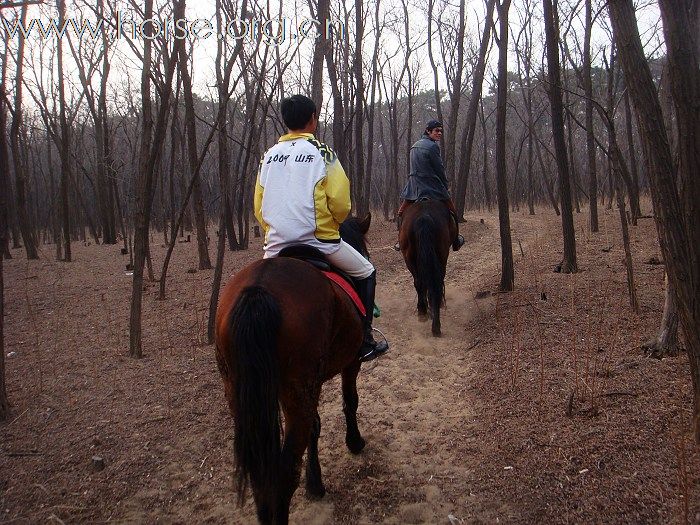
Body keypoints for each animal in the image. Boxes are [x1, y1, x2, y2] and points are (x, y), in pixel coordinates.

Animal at [216, 214, 374, 524]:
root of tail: (258, 290)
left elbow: (316, 426)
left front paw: (315, 484)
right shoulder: (350, 363)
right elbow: (350, 402)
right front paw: (354, 442)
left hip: (240, 394)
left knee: (262, 474)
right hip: (296, 392)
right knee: (285, 470)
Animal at [400, 201, 454, 336]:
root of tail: (424, 217)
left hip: (410, 257)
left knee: (420, 282)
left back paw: (424, 313)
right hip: (441, 255)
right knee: (434, 282)